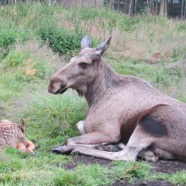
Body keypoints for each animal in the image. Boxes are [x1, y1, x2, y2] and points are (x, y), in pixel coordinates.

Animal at [48, 36, 186, 161]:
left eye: (83, 64)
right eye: (71, 59)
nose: (53, 84)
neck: (96, 98)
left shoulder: (108, 132)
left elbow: (71, 139)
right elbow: (79, 124)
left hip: (149, 123)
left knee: (126, 156)